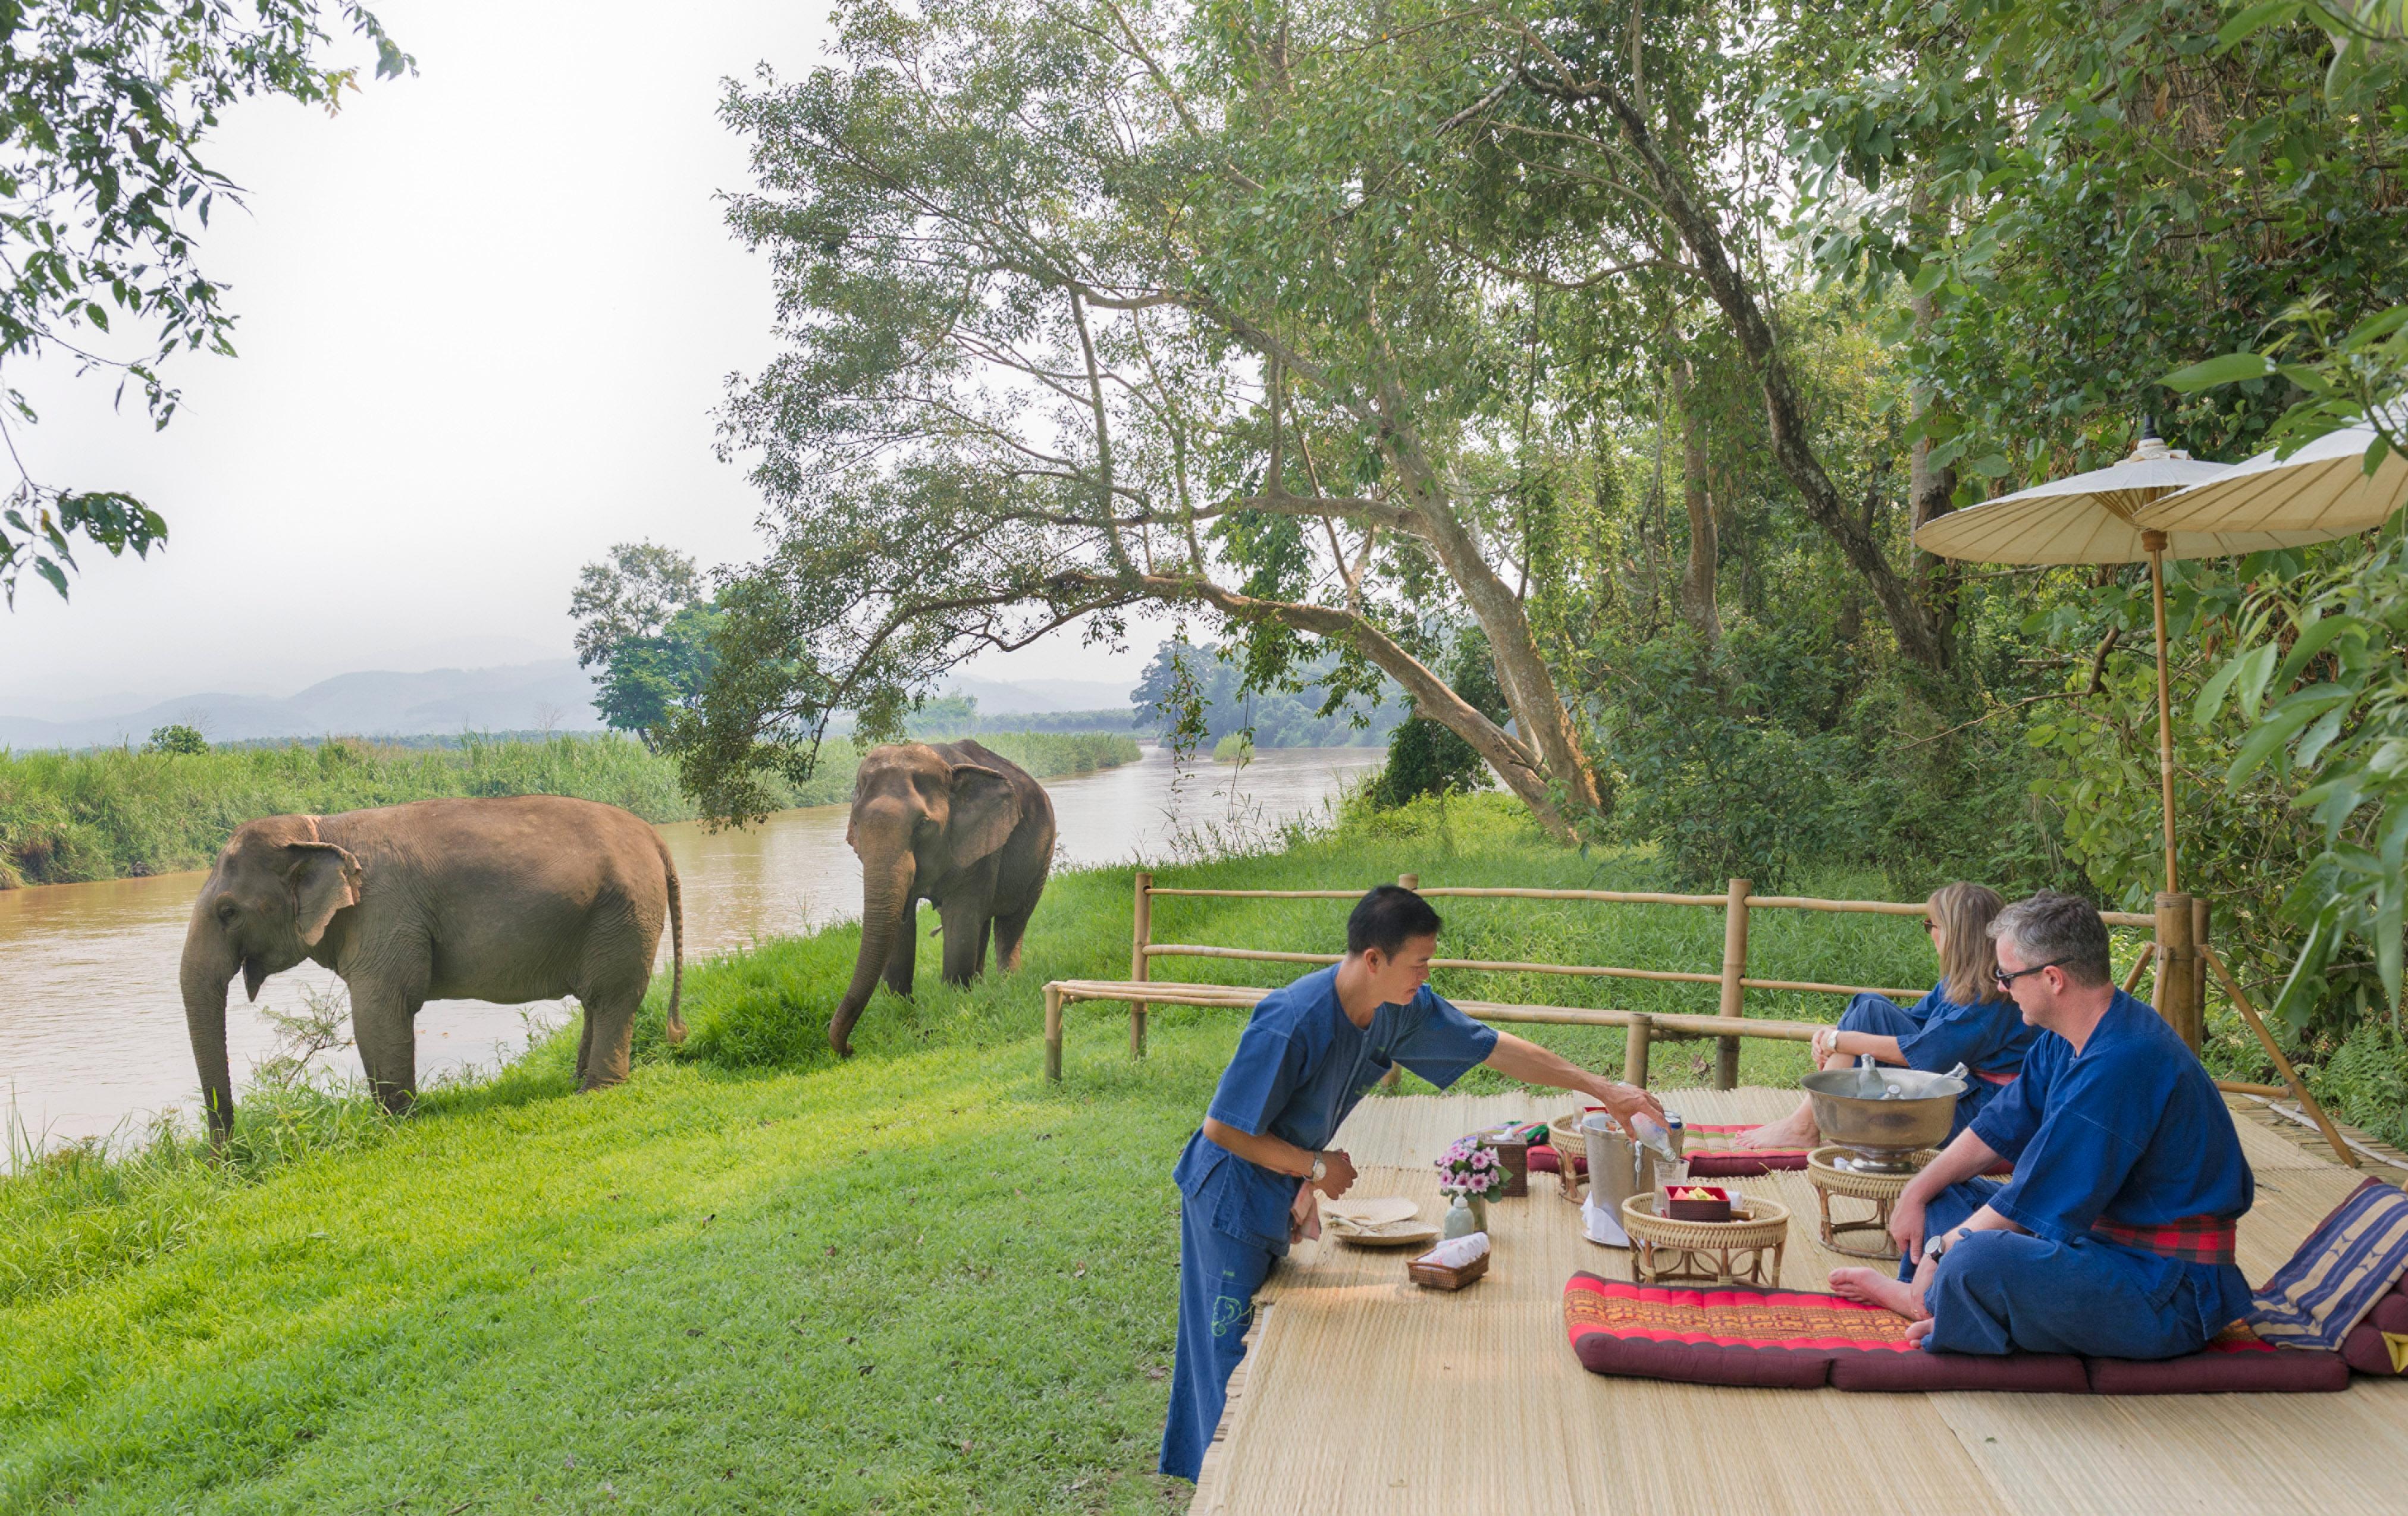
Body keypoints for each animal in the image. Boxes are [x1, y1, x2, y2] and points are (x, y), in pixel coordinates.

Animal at [178, 794, 683, 1140]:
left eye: (227, 912)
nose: (225, 1158)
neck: (320, 830)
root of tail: (656, 837)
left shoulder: (385, 913)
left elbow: (381, 1011)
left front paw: (395, 1123)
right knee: (597, 1001)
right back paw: (579, 1082)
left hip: (626, 911)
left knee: (612, 997)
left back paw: (596, 1090)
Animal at [828, 741, 1055, 1059]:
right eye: (857, 823)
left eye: (923, 825)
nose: (850, 1048)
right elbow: (903, 923)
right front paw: (901, 1009)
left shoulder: (979, 843)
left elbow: (960, 917)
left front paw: (955, 1002)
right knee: (984, 925)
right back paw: (981, 986)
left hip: (1042, 854)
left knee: (1012, 922)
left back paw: (1005, 985)